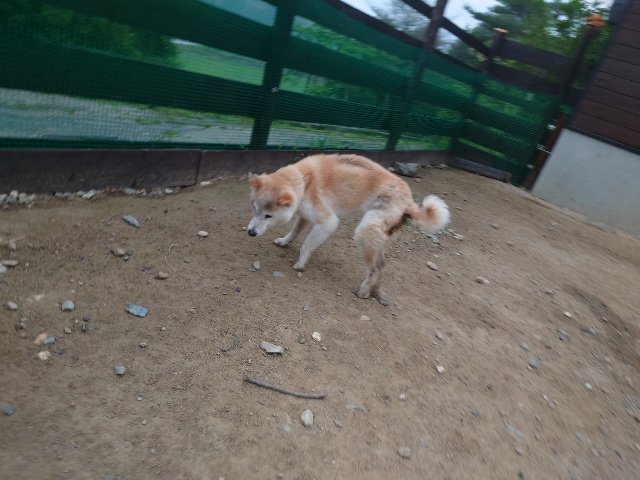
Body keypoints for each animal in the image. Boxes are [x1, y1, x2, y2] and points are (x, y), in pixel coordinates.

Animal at [246, 154, 450, 299]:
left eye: (268, 216)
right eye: (254, 208)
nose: (250, 232)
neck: (303, 179)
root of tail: (409, 202)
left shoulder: (327, 222)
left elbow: (306, 246)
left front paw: (300, 263)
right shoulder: (304, 215)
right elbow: (294, 232)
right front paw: (284, 241)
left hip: (364, 233)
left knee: (374, 269)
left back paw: (363, 291)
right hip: (377, 237)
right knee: (382, 265)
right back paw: (374, 290)